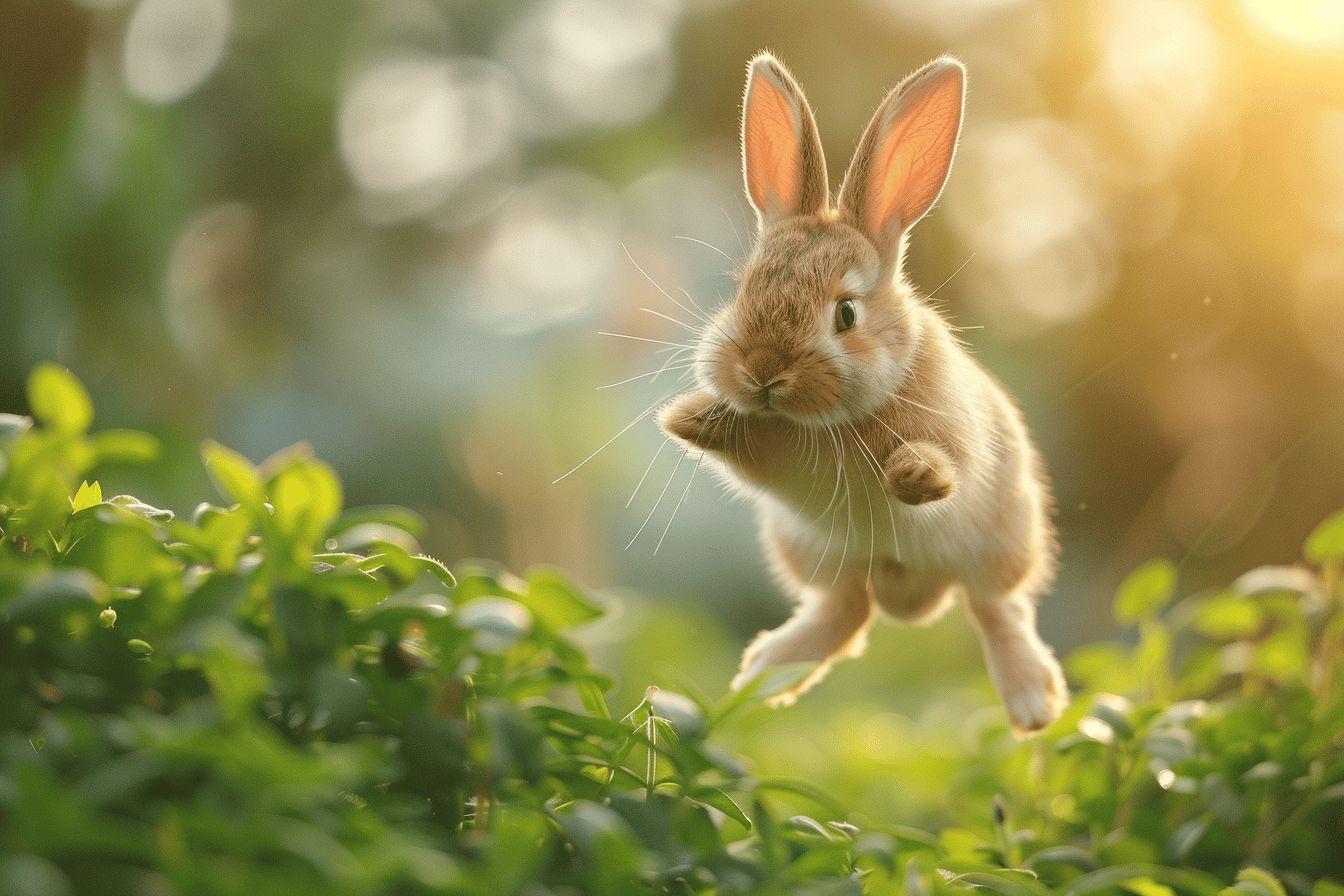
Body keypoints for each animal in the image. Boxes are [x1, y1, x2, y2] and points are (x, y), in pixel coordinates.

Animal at [656, 52, 1067, 735]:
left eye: (845, 314)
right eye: (743, 290)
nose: (763, 371)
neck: (834, 420)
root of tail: (913, 599)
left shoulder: (961, 440)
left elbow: (946, 464)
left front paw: (913, 476)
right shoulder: (781, 467)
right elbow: (753, 456)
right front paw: (688, 418)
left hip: (1003, 539)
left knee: (996, 607)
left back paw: (1033, 704)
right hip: (814, 554)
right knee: (848, 613)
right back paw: (764, 675)